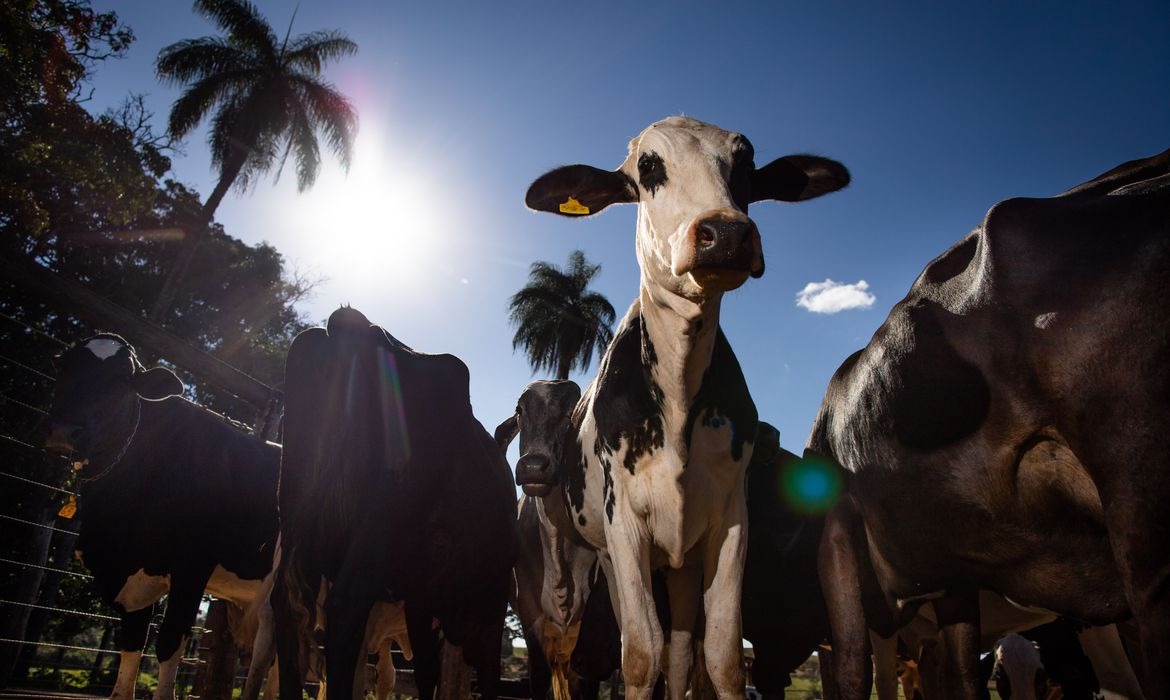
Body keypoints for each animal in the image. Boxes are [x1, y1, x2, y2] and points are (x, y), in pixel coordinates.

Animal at [41, 334, 280, 700]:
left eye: (122, 380)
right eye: (63, 367)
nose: (63, 432)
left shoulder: (192, 565)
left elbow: (168, 641)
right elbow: (131, 642)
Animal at [273, 309, 517, 700]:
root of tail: (351, 324)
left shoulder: (420, 597)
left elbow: (428, 670)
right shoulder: (486, 606)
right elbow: (483, 676)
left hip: (300, 519)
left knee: (288, 609)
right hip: (378, 530)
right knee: (345, 607)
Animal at [526, 115, 847, 700]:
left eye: (745, 165)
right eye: (649, 165)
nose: (727, 233)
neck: (676, 397)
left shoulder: (729, 523)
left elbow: (720, 656)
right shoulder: (625, 527)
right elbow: (638, 657)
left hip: (682, 562)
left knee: (678, 654)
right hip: (611, 556)